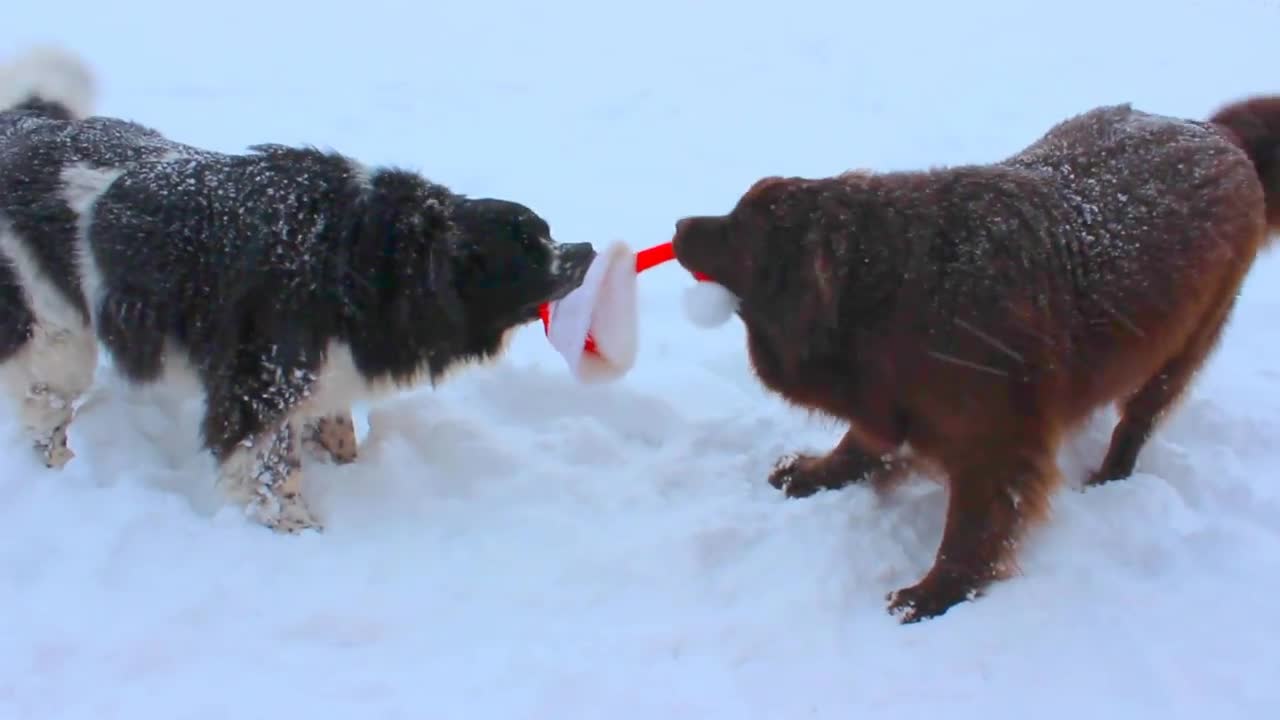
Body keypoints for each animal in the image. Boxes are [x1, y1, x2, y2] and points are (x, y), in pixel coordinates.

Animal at [0, 44, 596, 527]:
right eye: (530, 249)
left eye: (547, 234)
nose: (587, 250)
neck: (361, 261)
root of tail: (23, 124)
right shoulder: (258, 381)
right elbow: (268, 467)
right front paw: (294, 527)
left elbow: (331, 425)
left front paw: (342, 463)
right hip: (51, 328)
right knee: (42, 405)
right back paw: (60, 465)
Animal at [670, 96, 1280, 622]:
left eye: (739, 229)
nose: (677, 226)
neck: (891, 292)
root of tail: (1215, 132)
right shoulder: (893, 397)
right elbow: (864, 442)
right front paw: (818, 473)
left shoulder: (996, 439)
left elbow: (970, 528)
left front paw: (934, 594)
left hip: (1184, 346)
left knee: (1139, 419)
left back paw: (1110, 475)